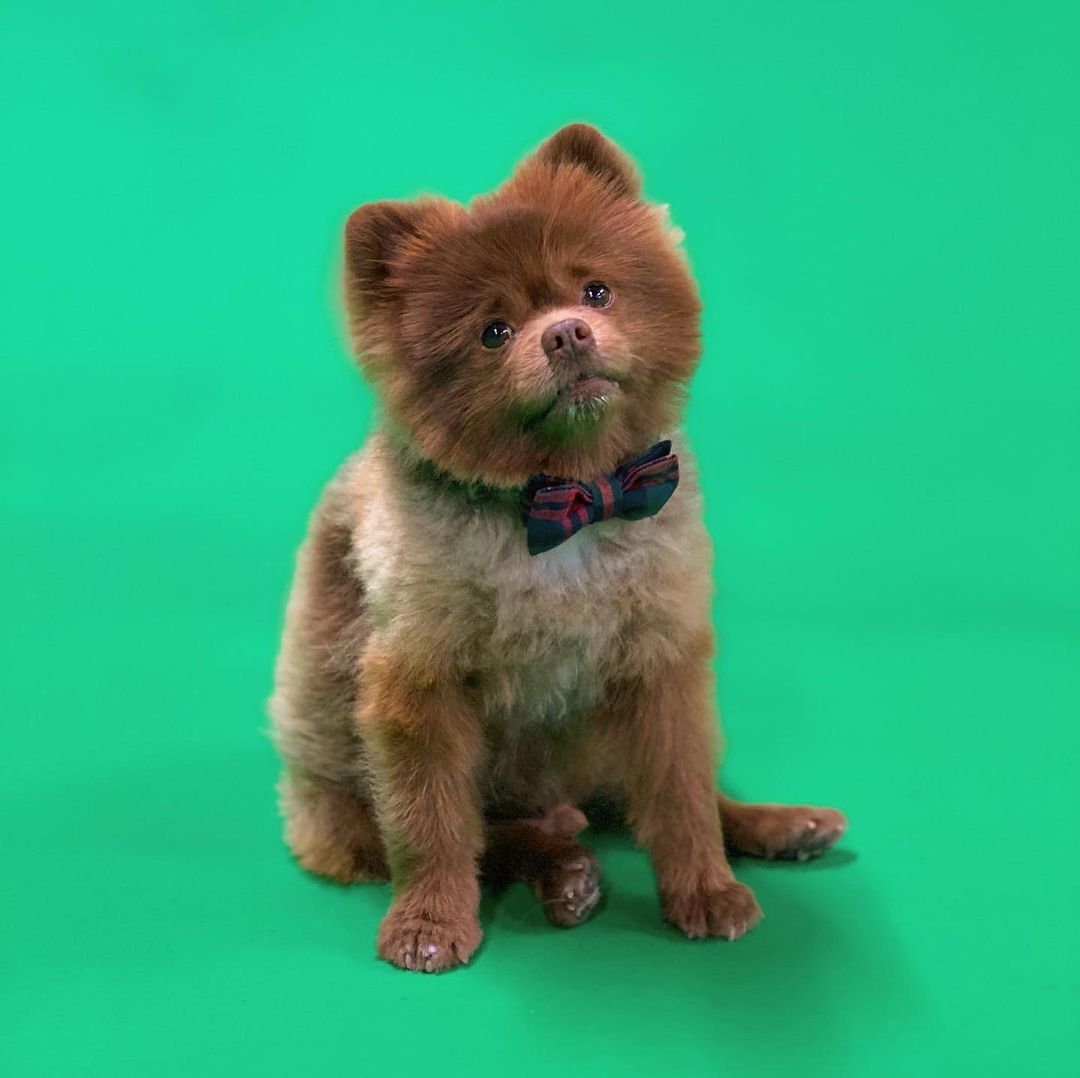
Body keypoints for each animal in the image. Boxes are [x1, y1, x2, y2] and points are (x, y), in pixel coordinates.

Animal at [267, 122, 842, 976]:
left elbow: (680, 792)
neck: (571, 501)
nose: (565, 331)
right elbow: (433, 820)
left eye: (596, 291)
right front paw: (430, 921)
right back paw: (564, 866)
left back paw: (778, 825)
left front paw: (706, 890)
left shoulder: (658, 661)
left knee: (664, 793)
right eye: (493, 332)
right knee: (494, 832)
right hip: (338, 801)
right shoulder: (420, 681)